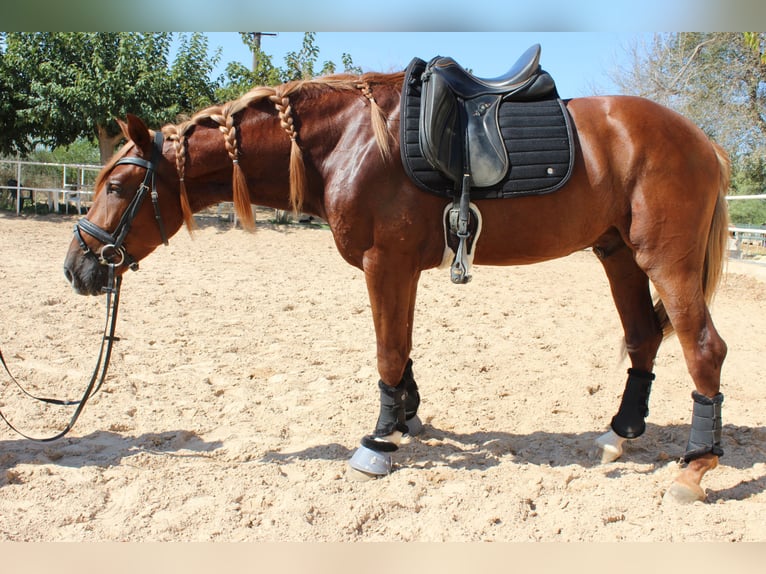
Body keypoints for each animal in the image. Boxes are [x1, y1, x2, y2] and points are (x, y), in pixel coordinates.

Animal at [63, 55, 730, 504]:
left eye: (117, 186)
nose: (77, 267)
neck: (352, 141)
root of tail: (704, 141)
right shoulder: (399, 267)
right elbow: (402, 347)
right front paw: (407, 419)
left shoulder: (385, 263)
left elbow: (387, 350)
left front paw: (379, 442)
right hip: (617, 254)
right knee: (644, 337)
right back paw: (619, 435)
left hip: (665, 261)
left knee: (704, 348)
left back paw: (695, 468)